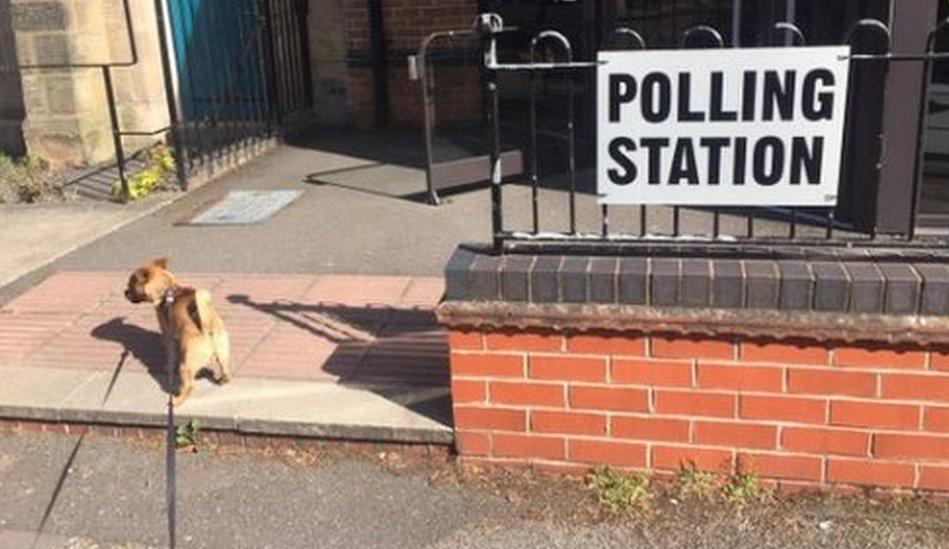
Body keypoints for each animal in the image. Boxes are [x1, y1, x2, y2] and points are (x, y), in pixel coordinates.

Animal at [124, 256, 231, 402]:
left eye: (131, 285)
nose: (125, 292)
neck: (166, 291)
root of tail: (207, 329)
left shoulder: (168, 335)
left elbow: (171, 355)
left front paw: (167, 368)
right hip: (222, 353)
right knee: (225, 369)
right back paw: (223, 379)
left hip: (185, 366)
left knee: (189, 387)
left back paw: (176, 401)